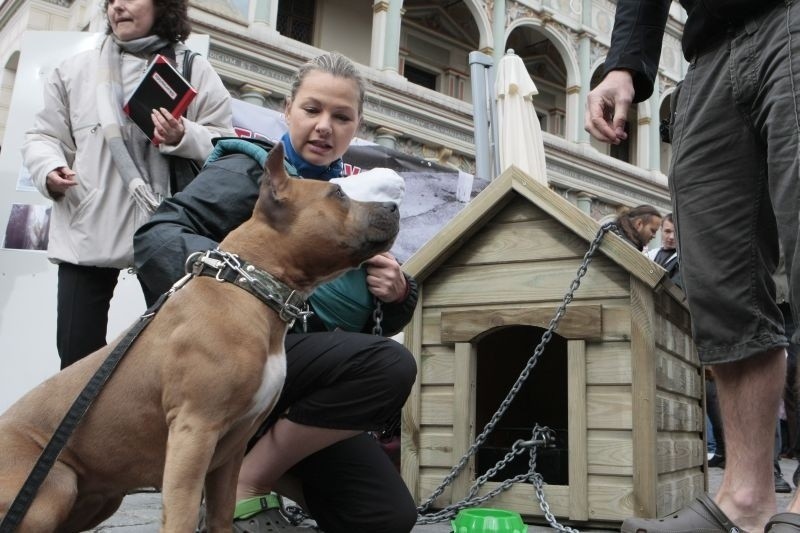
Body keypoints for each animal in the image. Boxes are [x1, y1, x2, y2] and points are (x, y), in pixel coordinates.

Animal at [0, 142, 400, 532]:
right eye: (337, 193)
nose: (395, 206)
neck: (250, 288)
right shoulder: (194, 431)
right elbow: (182, 516)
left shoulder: (231, 452)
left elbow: (222, 514)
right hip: (56, 485)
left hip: (97, 499)